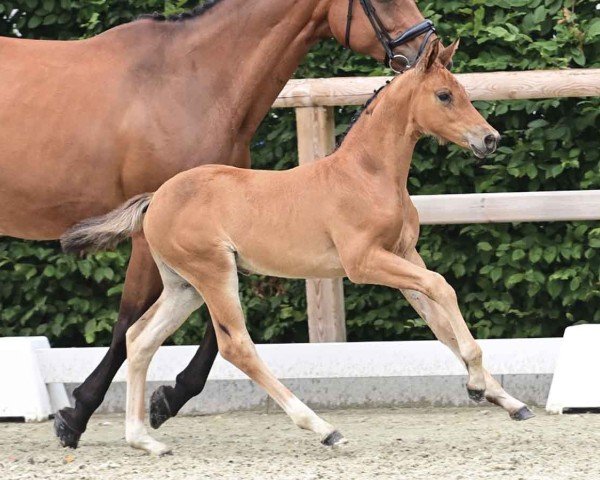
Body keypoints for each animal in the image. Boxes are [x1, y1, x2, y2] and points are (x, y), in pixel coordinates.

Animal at [0, 0, 436, 446]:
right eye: (382, 2)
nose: (429, 48)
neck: (193, 83)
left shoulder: (223, 236)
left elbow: (210, 329)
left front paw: (166, 399)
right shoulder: (154, 238)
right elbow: (129, 320)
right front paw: (77, 414)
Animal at [62, 40, 536, 454]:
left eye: (465, 92)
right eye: (443, 95)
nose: (490, 139)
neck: (366, 175)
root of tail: (156, 198)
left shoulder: (403, 256)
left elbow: (440, 323)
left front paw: (507, 400)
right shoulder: (364, 262)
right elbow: (443, 287)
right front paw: (476, 384)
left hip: (184, 286)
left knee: (139, 338)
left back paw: (143, 439)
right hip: (214, 273)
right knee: (236, 346)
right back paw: (324, 429)